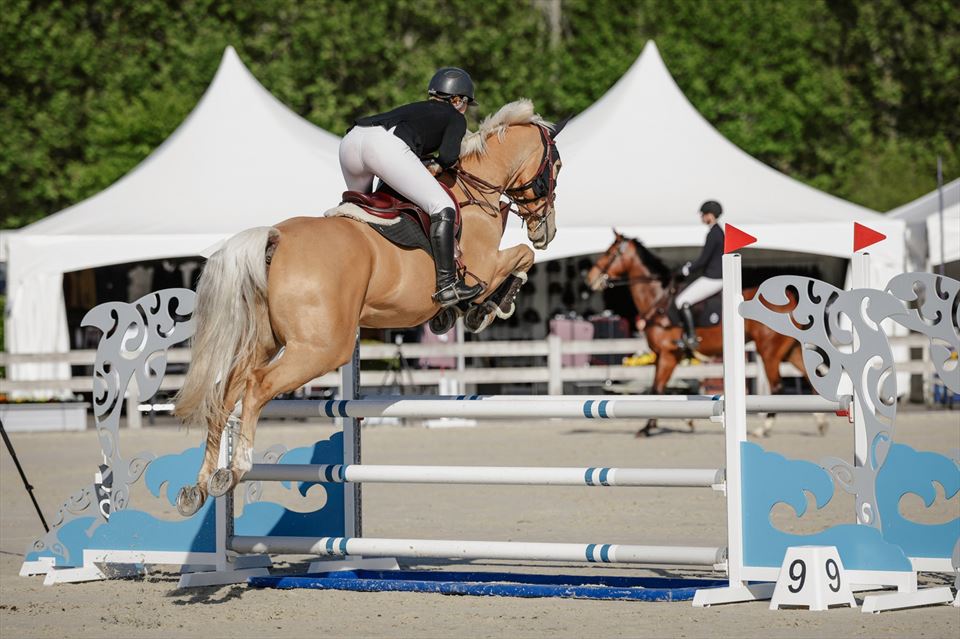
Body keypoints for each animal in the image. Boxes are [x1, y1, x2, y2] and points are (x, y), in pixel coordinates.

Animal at [174, 100, 564, 516]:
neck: (475, 192)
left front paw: (459, 313)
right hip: (324, 347)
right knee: (257, 384)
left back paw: (200, 485)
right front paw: (485, 308)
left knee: (225, 390)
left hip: (266, 340)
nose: (547, 231)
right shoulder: (485, 267)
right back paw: (236, 469)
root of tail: (276, 238)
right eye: (555, 167)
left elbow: (517, 260)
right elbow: (521, 258)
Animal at [585, 231, 827, 437]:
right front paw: (684, 421)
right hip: (789, 351)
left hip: (769, 352)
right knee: (811, 379)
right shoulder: (666, 357)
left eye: (610, 253)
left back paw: (763, 429)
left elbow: (657, 389)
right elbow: (663, 391)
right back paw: (820, 422)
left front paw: (647, 428)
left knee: (777, 386)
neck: (658, 300)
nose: (589, 279)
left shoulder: (668, 355)